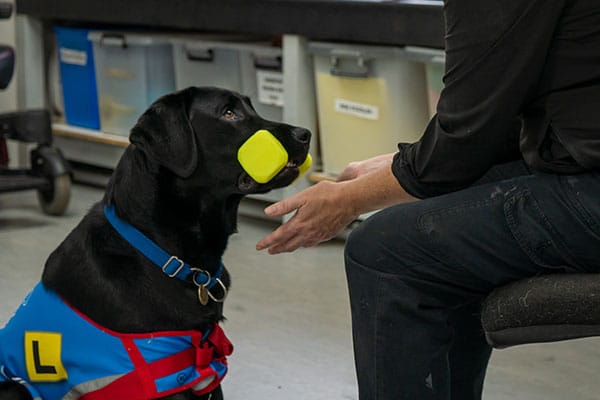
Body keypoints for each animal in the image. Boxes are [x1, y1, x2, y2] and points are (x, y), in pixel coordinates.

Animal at [0, 86, 310, 400]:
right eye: (228, 113)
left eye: (251, 107)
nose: (305, 134)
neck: (167, 258)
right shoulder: (167, 375)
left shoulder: (205, 366)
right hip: (15, 387)